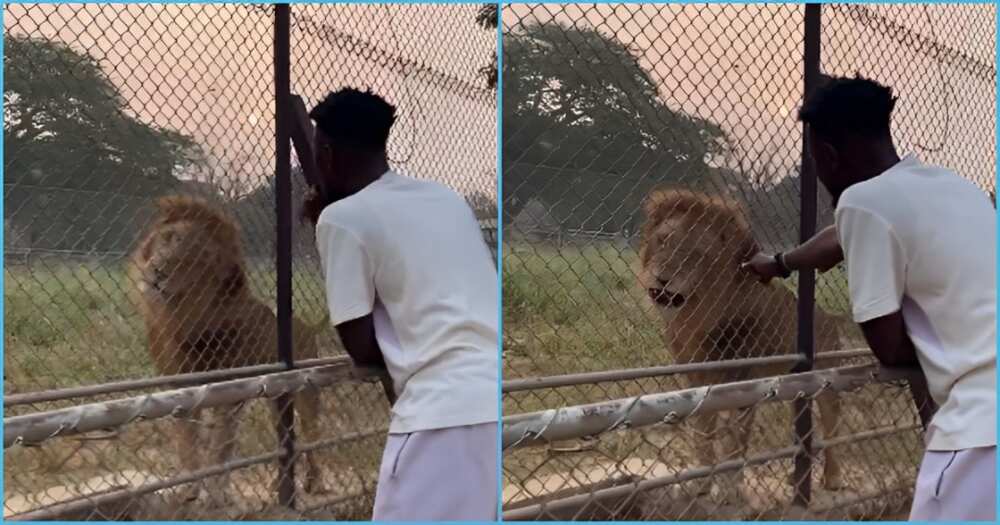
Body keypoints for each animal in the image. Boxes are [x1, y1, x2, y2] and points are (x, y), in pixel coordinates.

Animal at [127, 194, 330, 502]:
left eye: (197, 257)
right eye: (168, 237)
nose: (157, 272)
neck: (184, 316)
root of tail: (306, 325)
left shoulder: (230, 393)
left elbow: (221, 447)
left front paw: (216, 493)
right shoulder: (179, 385)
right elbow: (187, 441)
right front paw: (188, 488)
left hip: (306, 390)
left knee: (312, 434)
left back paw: (315, 482)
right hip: (277, 398)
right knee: (285, 436)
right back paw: (279, 486)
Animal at [636, 189, 848, 504]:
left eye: (697, 254)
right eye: (664, 240)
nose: (662, 279)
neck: (699, 318)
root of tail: (827, 317)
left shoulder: (744, 380)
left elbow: (735, 441)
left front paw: (730, 489)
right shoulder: (695, 376)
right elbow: (703, 432)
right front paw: (700, 484)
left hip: (826, 382)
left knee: (833, 427)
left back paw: (833, 479)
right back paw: (796, 477)